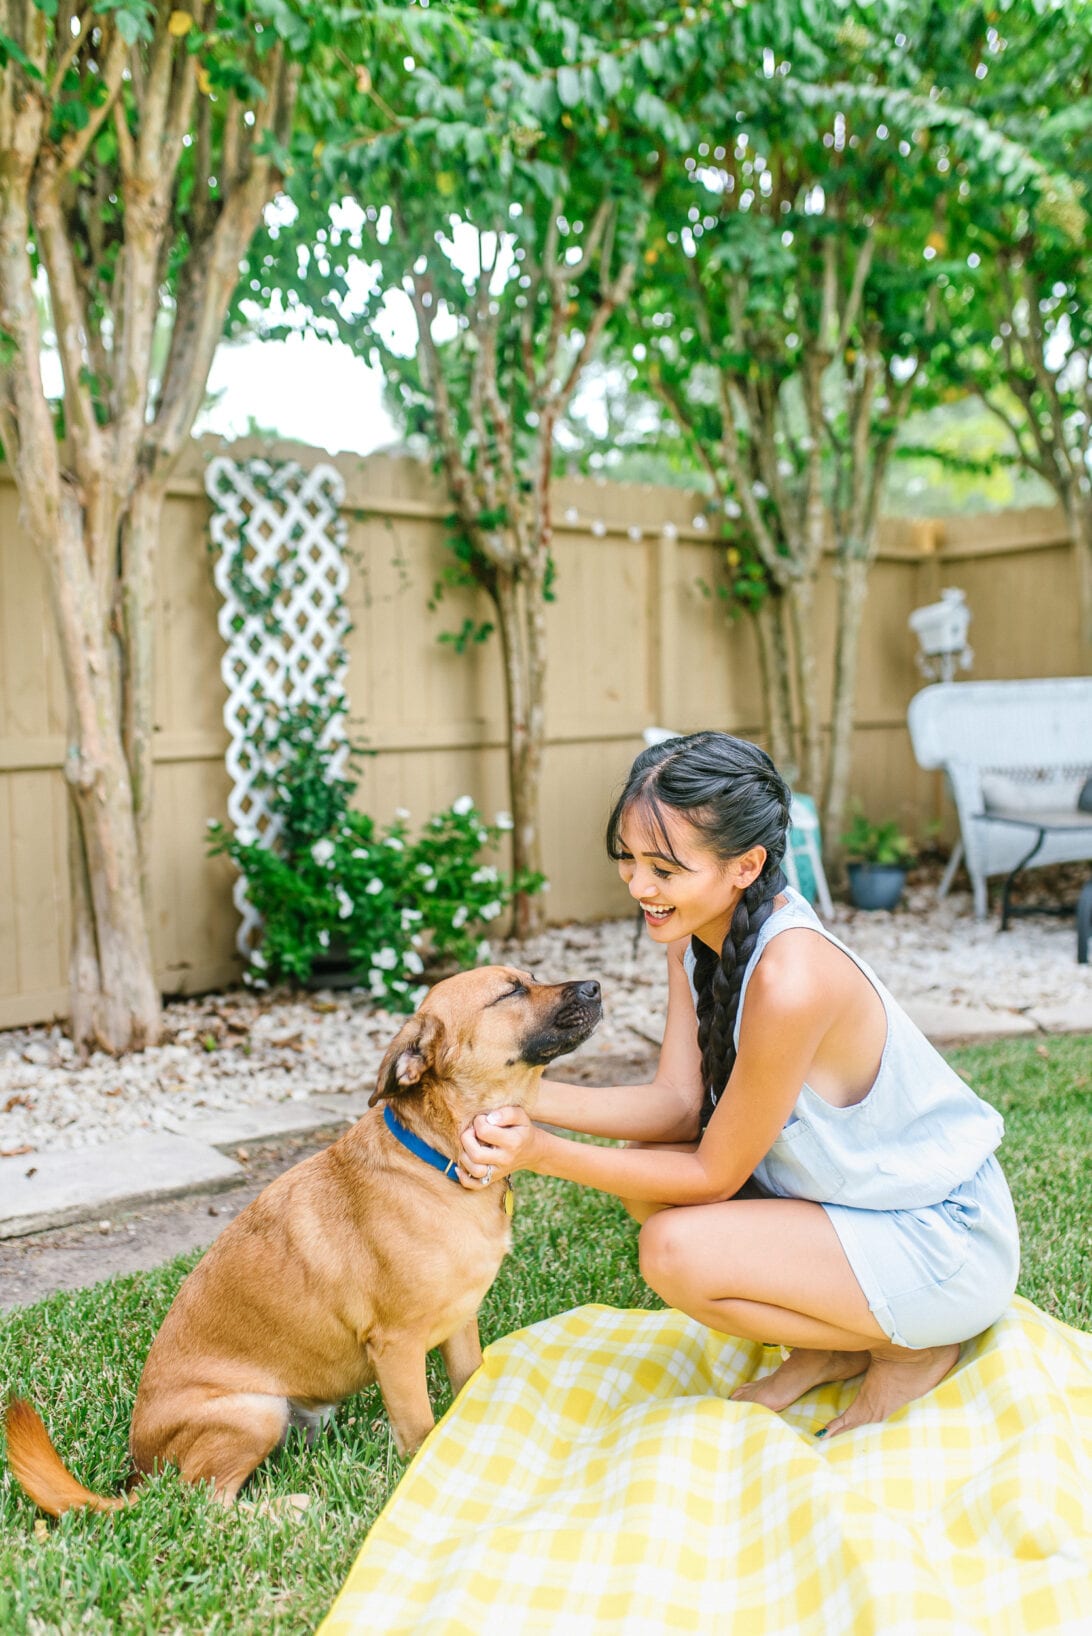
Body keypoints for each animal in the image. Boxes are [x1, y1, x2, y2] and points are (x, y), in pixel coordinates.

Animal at [4, 961, 602, 1511]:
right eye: (510, 992)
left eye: (531, 977)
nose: (596, 986)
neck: (435, 1159)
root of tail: (141, 1477)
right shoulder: (398, 1347)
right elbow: (421, 1431)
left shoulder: (459, 1325)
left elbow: (465, 1395)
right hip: (254, 1411)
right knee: (209, 1504)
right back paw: (289, 1509)